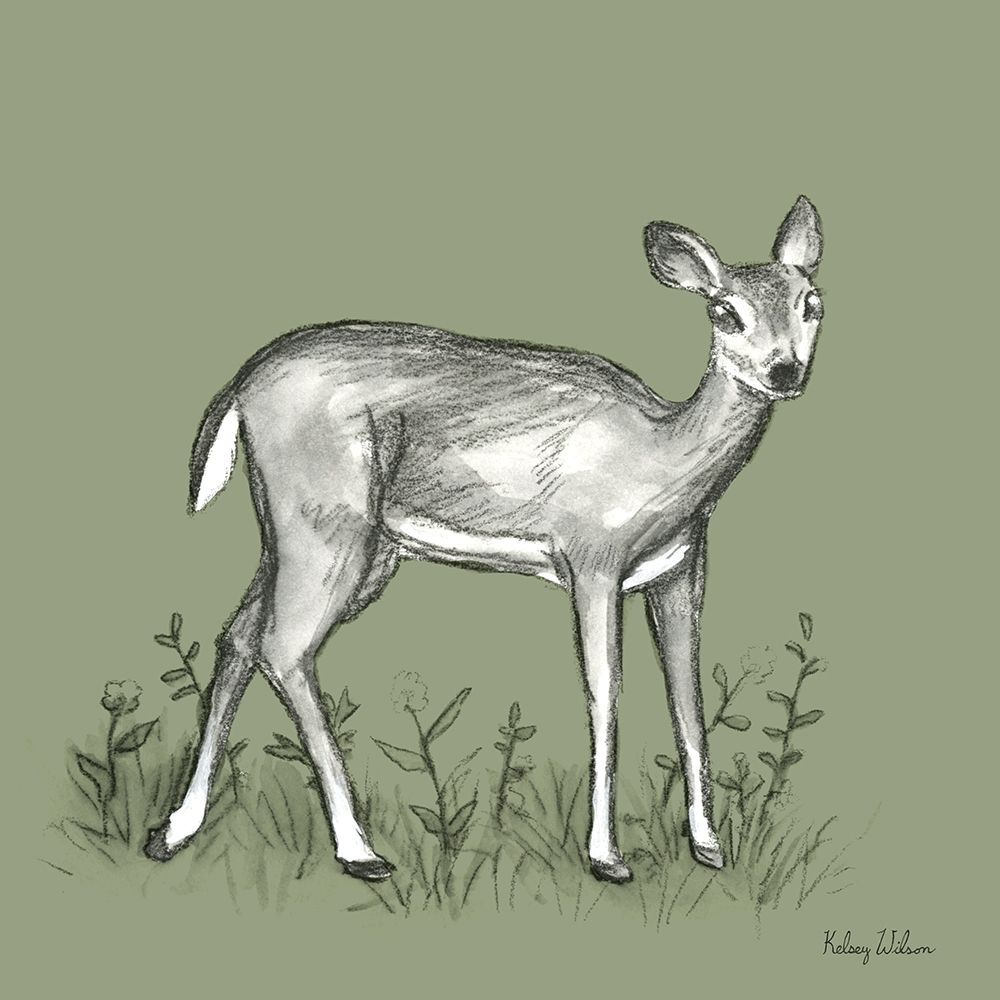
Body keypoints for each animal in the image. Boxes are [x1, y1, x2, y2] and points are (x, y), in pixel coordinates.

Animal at [144, 196, 824, 885]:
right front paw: (607, 858)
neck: (659, 460)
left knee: (239, 635)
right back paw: (361, 851)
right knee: (284, 648)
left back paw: (174, 831)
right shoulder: (591, 563)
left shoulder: (680, 570)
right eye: (724, 311)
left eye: (811, 302)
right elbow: (605, 694)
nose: (784, 370)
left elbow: (687, 695)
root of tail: (240, 387)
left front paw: (708, 847)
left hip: (326, 541)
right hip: (329, 528)